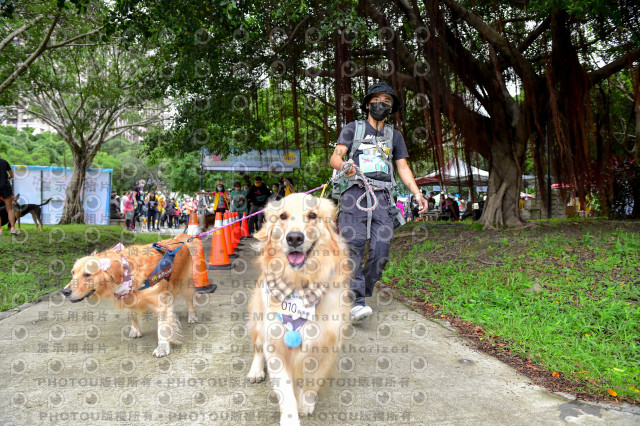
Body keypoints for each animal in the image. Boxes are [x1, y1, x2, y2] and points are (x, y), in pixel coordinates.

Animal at [62, 233, 199, 356]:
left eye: (87, 274)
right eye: (73, 273)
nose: (64, 292)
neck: (128, 274)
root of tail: (180, 239)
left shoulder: (161, 302)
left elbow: (163, 327)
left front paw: (163, 347)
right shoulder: (129, 297)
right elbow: (133, 315)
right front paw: (136, 330)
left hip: (186, 285)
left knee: (189, 301)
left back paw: (192, 316)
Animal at [248, 194, 352, 426]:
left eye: (312, 215)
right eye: (283, 216)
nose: (294, 238)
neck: (300, 283)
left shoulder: (329, 343)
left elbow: (314, 379)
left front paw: (306, 403)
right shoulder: (275, 344)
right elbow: (286, 392)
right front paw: (291, 416)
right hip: (259, 322)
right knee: (257, 348)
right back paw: (256, 370)